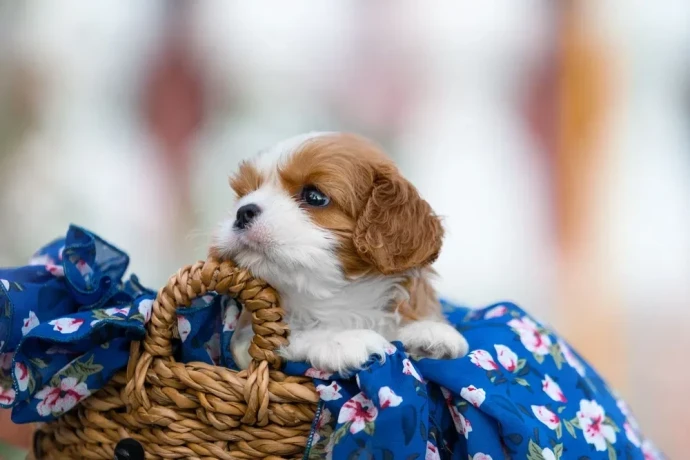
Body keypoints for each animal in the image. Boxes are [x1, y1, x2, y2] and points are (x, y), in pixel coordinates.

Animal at [210, 130, 468, 374]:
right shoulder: (242, 342)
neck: (337, 300)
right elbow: (286, 336)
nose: (243, 211)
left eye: (314, 197)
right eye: (243, 194)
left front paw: (428, 331)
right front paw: (341, 339)